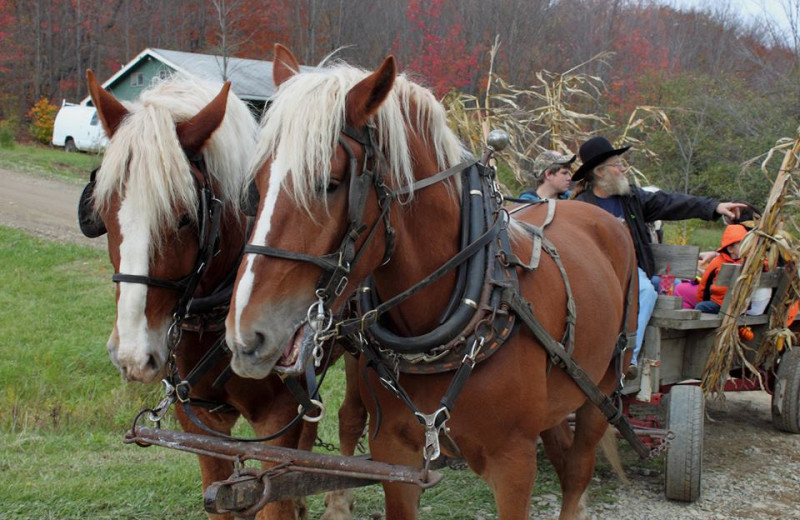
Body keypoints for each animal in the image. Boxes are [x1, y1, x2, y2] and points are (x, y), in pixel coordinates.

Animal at [83, 70, 360, 520]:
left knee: (351, 415)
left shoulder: (275, 420)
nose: (133, 355)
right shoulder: (200, 422)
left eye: (184, 217)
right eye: (104, 215)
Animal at [227, 45, 636, 520]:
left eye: (329, 183)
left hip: (600, 392)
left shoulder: (514, 464)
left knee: (576, 471)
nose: (245, 337)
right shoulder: (395, 456)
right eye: (257, 185)